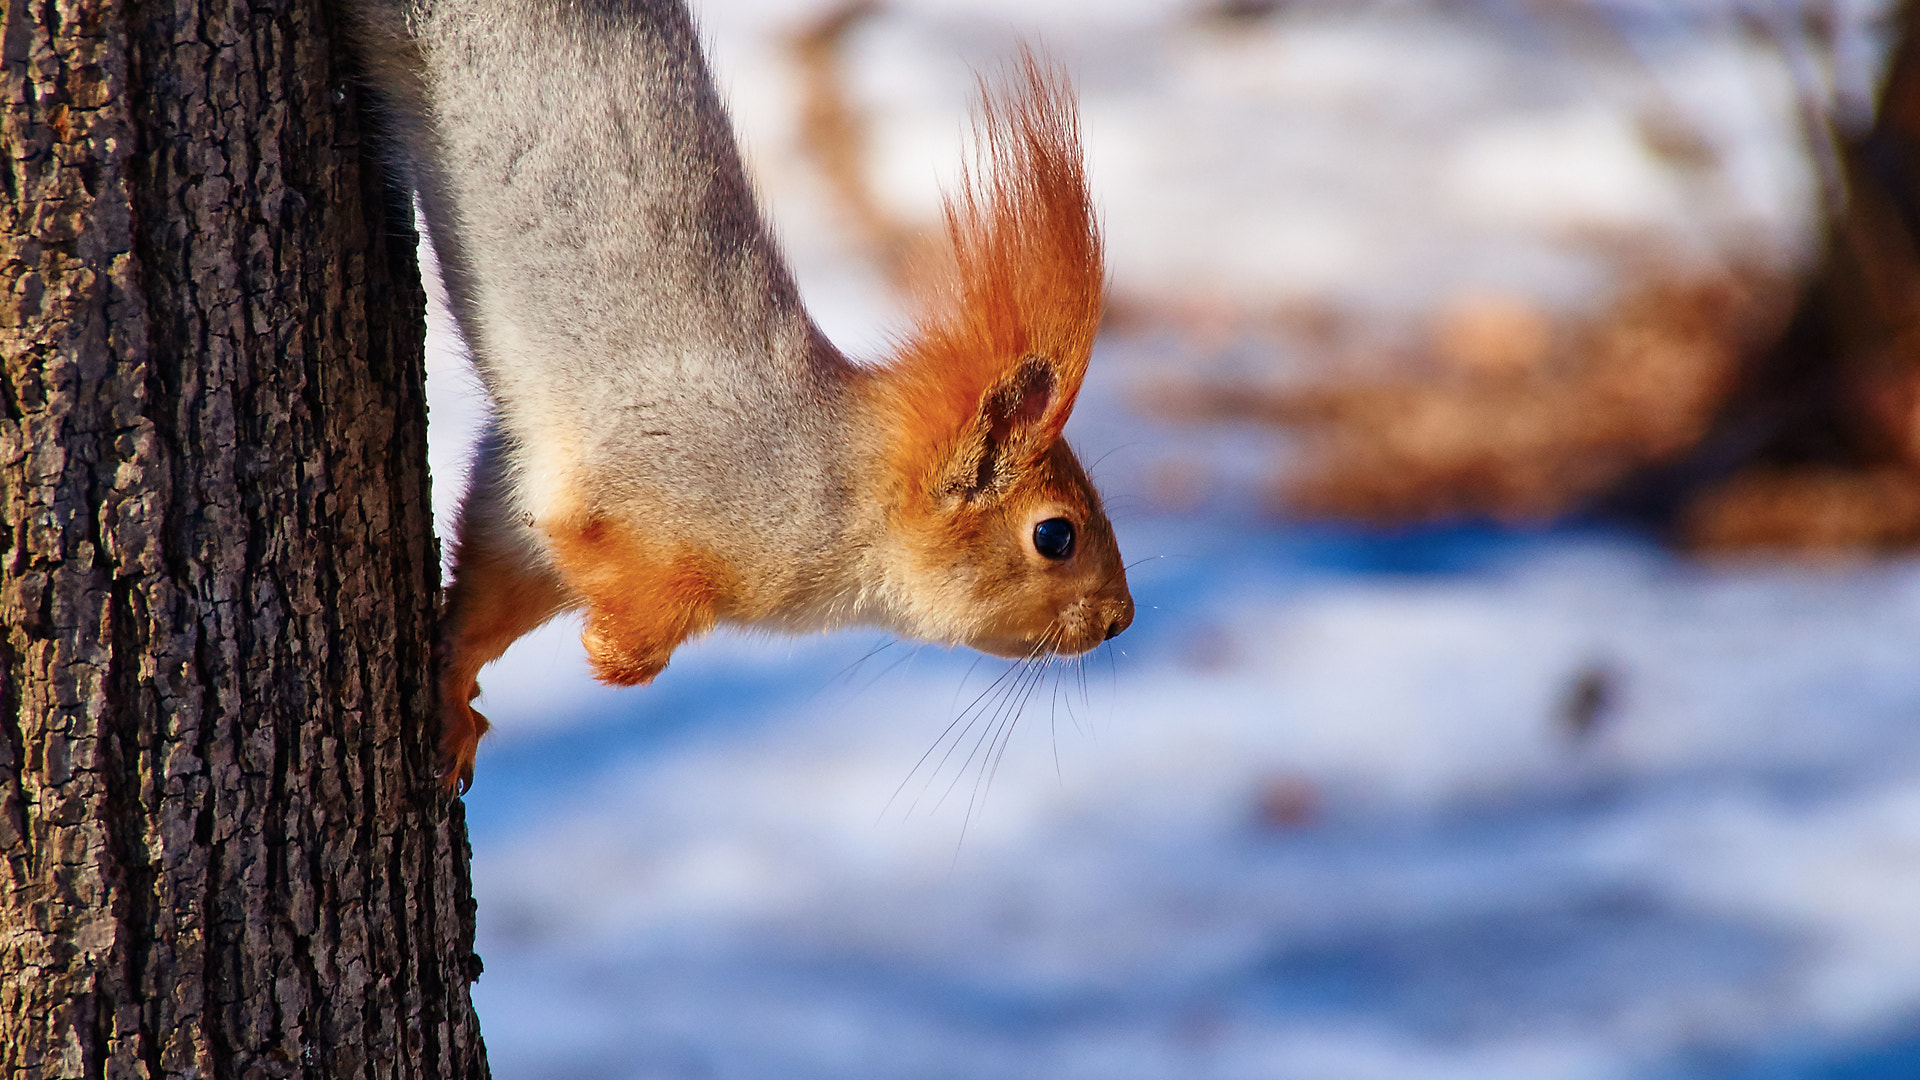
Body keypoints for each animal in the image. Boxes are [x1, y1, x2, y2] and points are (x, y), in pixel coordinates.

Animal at [344, 0, 1135, 790]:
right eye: (1055, 536)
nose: (1119, 620)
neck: (830, 490)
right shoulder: (646, 475)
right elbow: (622, 576)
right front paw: (615, 652)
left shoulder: (517, 501)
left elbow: (487, 598)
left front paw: (455, 700)